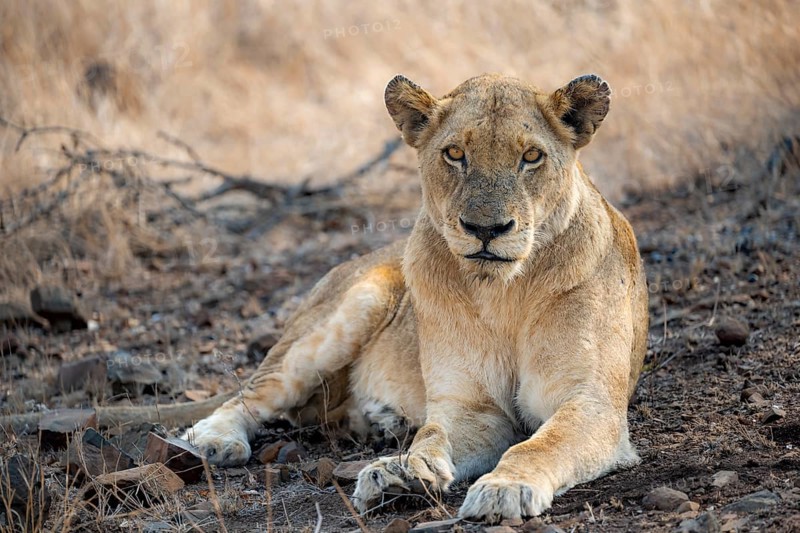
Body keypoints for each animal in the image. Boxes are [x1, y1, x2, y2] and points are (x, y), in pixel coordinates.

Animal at [181, 73, 649, 523]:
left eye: (531, 157)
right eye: (455, 154)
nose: (485, 229)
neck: (505, 292)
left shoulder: (590, 402)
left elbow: (539, 445)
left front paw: (504, 487)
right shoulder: (468, 406)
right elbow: (432, 435)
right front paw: (401, 472)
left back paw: (382, 422)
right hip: (353, 307)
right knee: (252, 393)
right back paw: (214, 439)